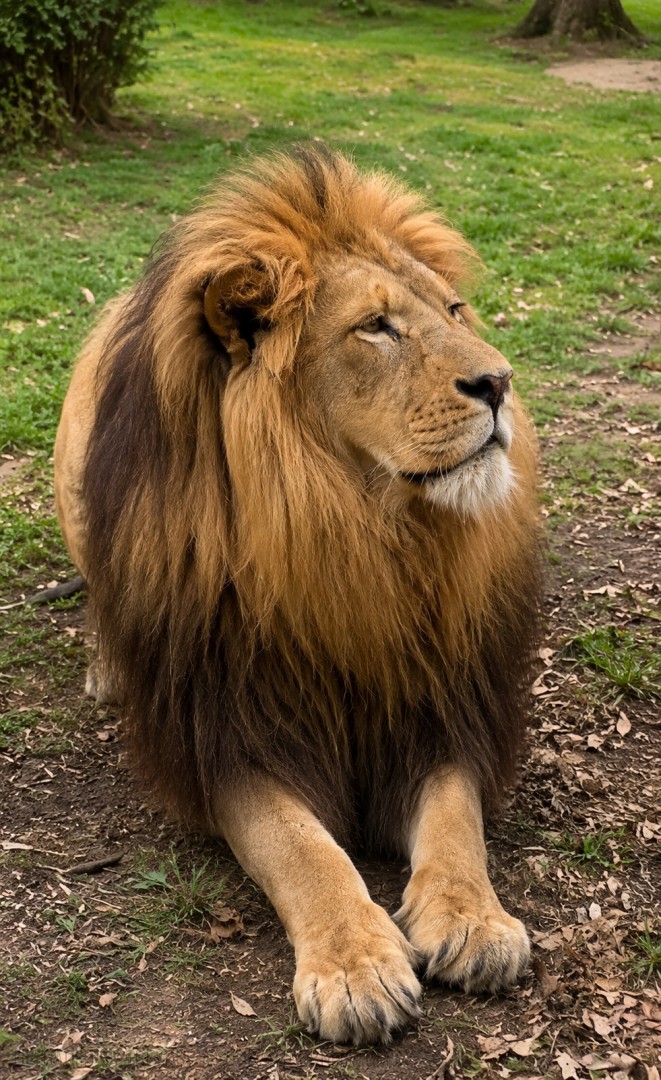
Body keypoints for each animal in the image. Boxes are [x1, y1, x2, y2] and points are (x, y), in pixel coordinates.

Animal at [54, 146, 541, 1046]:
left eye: (454, 309)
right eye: (375, 327)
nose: (499, 382)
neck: (353, 536)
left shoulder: (439, 702)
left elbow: (456, 820)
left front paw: (474, 920)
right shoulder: (228, 732)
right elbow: (300, 847)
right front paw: (354, 966)